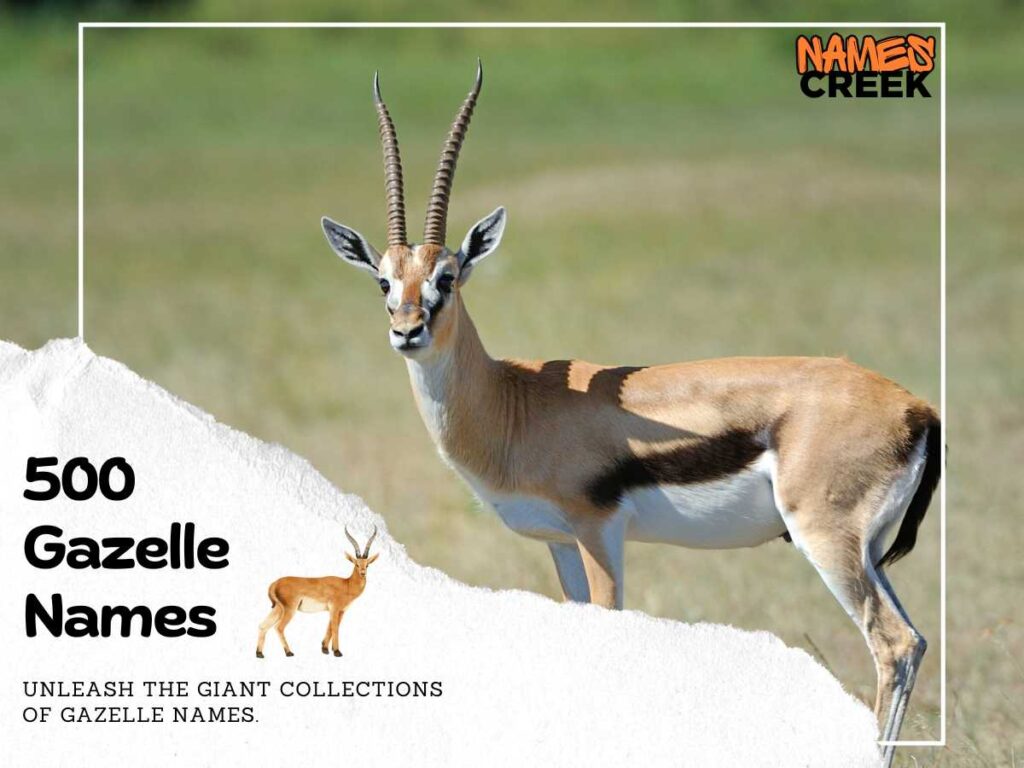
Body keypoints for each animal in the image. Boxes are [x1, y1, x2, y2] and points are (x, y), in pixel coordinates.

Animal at [256, 527, 378, 658]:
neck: (347, 585)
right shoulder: (334, 609)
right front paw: (337, 651)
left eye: (367, 564)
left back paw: (259, 654)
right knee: (279, 627)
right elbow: (335, 628)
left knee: (263, 625)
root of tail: (275, 583)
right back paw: (289, 652)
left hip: (278, 608)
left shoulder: (340, 611)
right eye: (356, 564)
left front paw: (325, 649)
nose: (363, 573)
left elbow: (330, 628)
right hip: (289, 609)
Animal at [319, 62, 941, 760]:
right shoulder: (561, 543)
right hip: (869, 553)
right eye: (383, 280)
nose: (407, 331)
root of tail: (915, 407)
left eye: (447, 278)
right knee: (915, 643)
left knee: (893, 644)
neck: (515, 404)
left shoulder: (598, 533)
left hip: (827, 540)